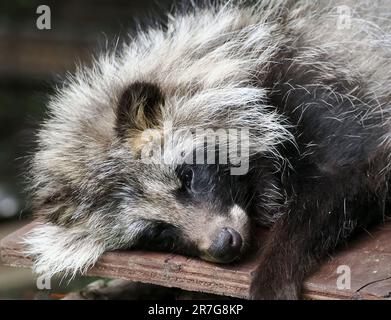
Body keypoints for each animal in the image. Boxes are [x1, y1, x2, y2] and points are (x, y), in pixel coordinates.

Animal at [26, 1, 390, 298]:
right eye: (155, 232)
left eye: (186, 177)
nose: (223, 245)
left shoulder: (325, 88)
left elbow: (348, 176)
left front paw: (275, 271)